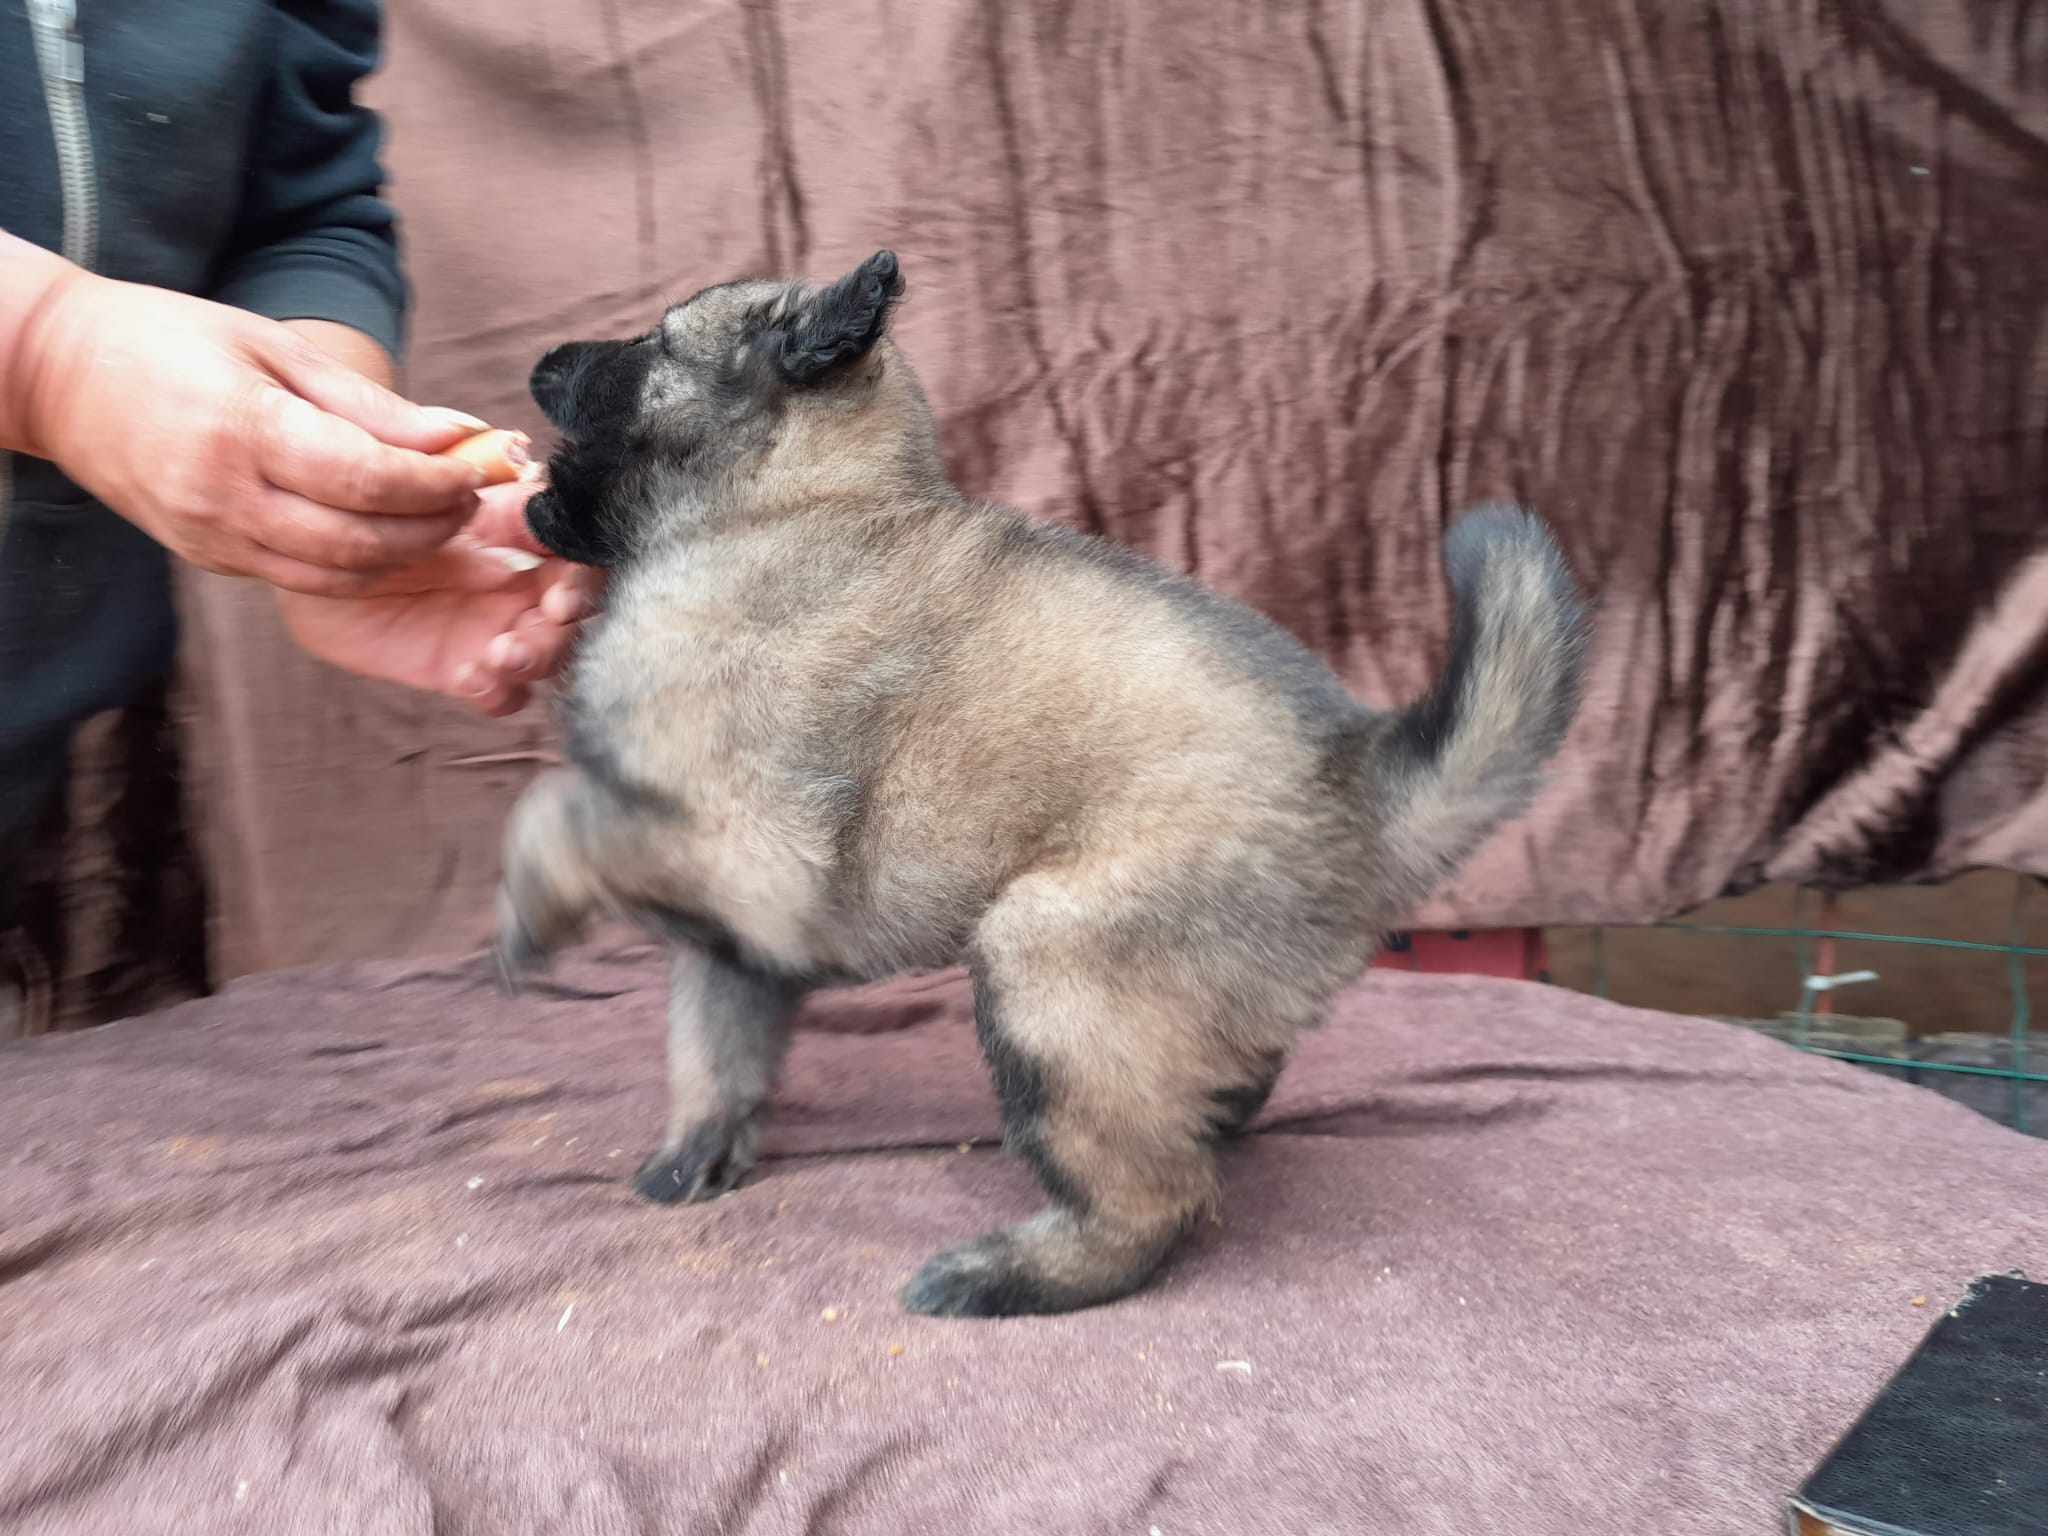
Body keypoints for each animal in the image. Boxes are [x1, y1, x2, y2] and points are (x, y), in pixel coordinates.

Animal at [495, 250, 1589, 1317]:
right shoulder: (739, 938)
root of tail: (1364, 787)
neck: (784, 510)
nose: (542, 358)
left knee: (1154, 1200)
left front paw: (527, 908)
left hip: (1047, 965)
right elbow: (712, 1047)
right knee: (1203, 1110)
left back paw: (1009, 1274)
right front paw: (697, 1151)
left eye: (656, 343)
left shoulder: (746, 854)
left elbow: (558, 813)